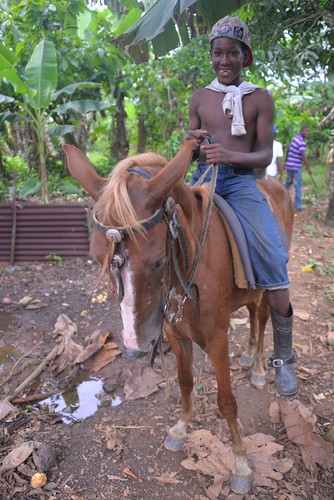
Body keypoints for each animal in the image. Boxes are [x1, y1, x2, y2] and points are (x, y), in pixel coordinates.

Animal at [64, 141, 294, 496]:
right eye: (95, 256)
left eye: (158, 261)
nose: (134, 347)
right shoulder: (175, 334)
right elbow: (185, 382)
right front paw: (181, 428)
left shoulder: (216, 339)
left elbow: (226, 401)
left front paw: (241, 463)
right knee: (252, 315)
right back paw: (247, 357)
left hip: (270, 281)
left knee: (263, 317)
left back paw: (258, 367)